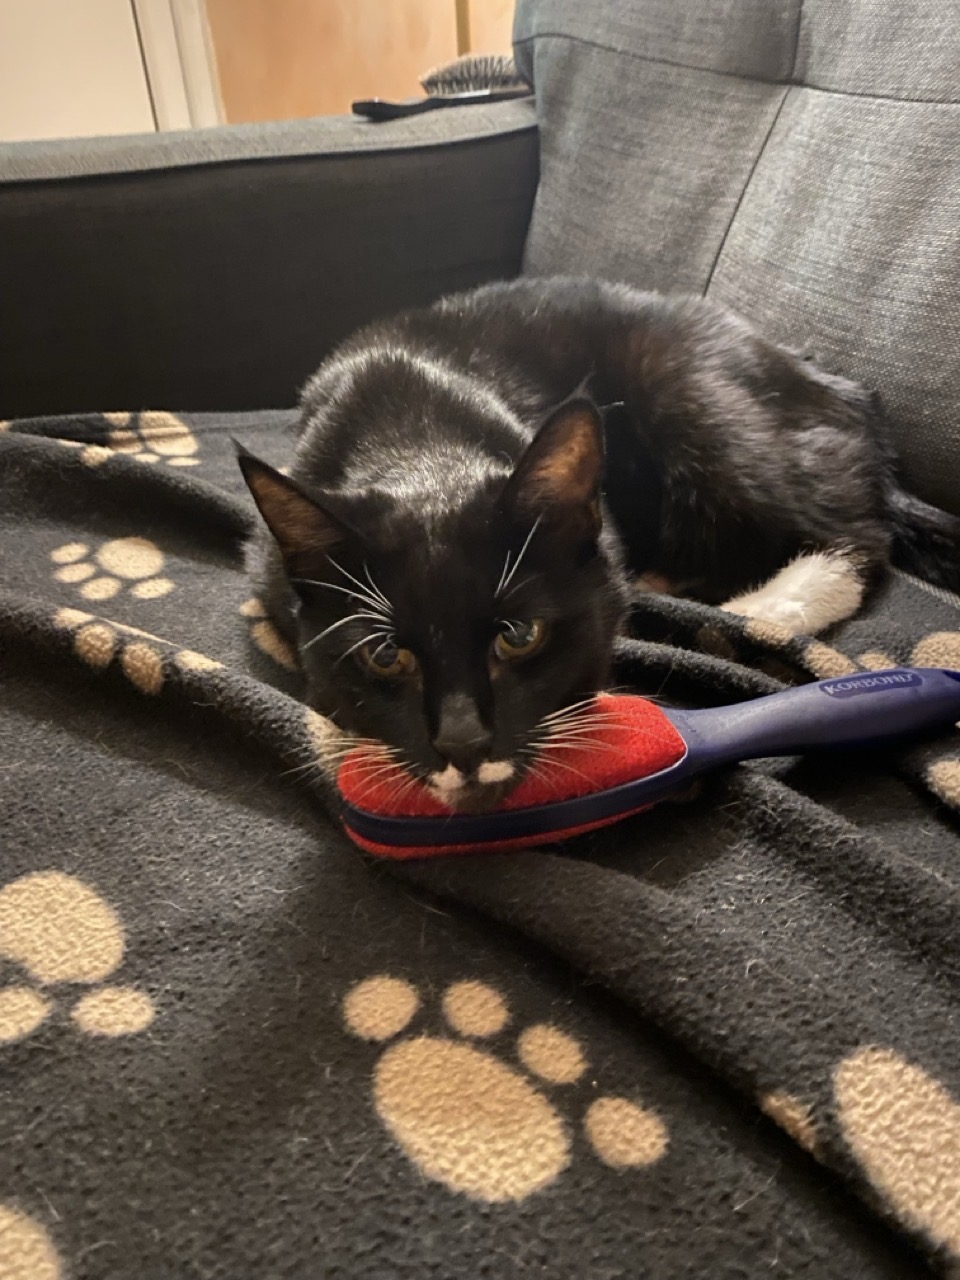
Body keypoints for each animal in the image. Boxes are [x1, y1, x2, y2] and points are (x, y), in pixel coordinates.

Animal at [239, 273, 960, 808]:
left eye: (518, 635)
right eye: (386, 656)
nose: (464, 746)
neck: (416, 446)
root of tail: (843, 391)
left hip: (688, 386)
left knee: (852, 531)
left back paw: (757, 613)